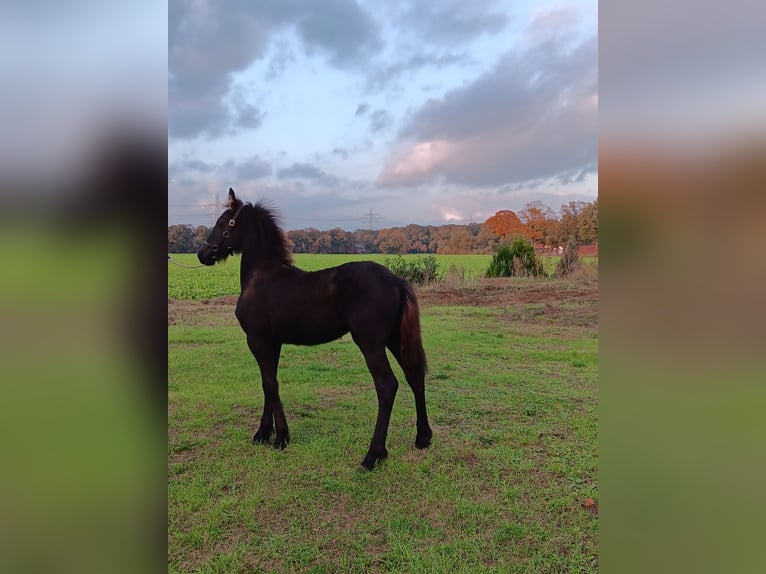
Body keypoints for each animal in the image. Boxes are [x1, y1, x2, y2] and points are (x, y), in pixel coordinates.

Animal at [198, 190, 432, 472]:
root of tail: (395, 280)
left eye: (223, 221)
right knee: (414, 376)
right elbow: (268, 384)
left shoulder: (257, 339)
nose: (202, 254)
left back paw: (372, 456)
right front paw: (264, 433)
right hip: (394, 339)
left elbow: (270, 383)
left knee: (387, 386)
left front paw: (281, 437)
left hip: (371, 343)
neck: (261, 277)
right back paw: (422, 438)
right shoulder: (272, 342)